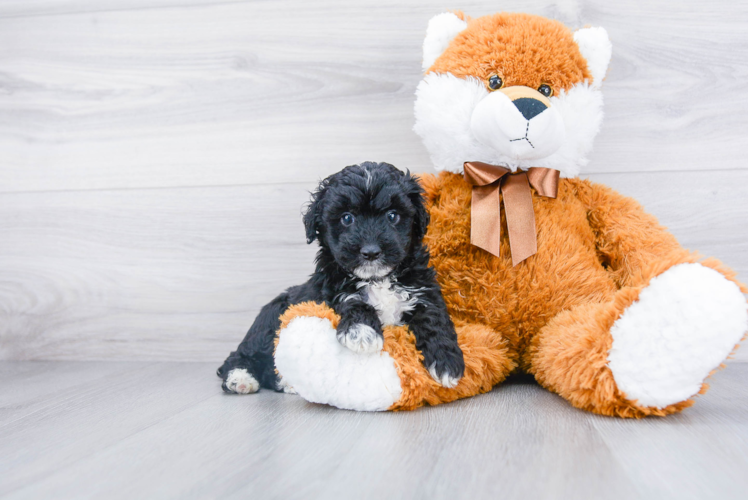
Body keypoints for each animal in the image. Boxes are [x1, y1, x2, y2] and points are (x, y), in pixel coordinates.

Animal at [216, 163, 462, 394]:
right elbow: (352, 300)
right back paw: (241, 378)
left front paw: (447, 361)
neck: (377, 279)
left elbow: (433, 318)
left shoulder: (423, 289)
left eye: (393, 216)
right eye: (347, 218)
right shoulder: (332, 288)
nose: (371, 252)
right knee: (241, 355)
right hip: (271, 318)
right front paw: (362, 332)